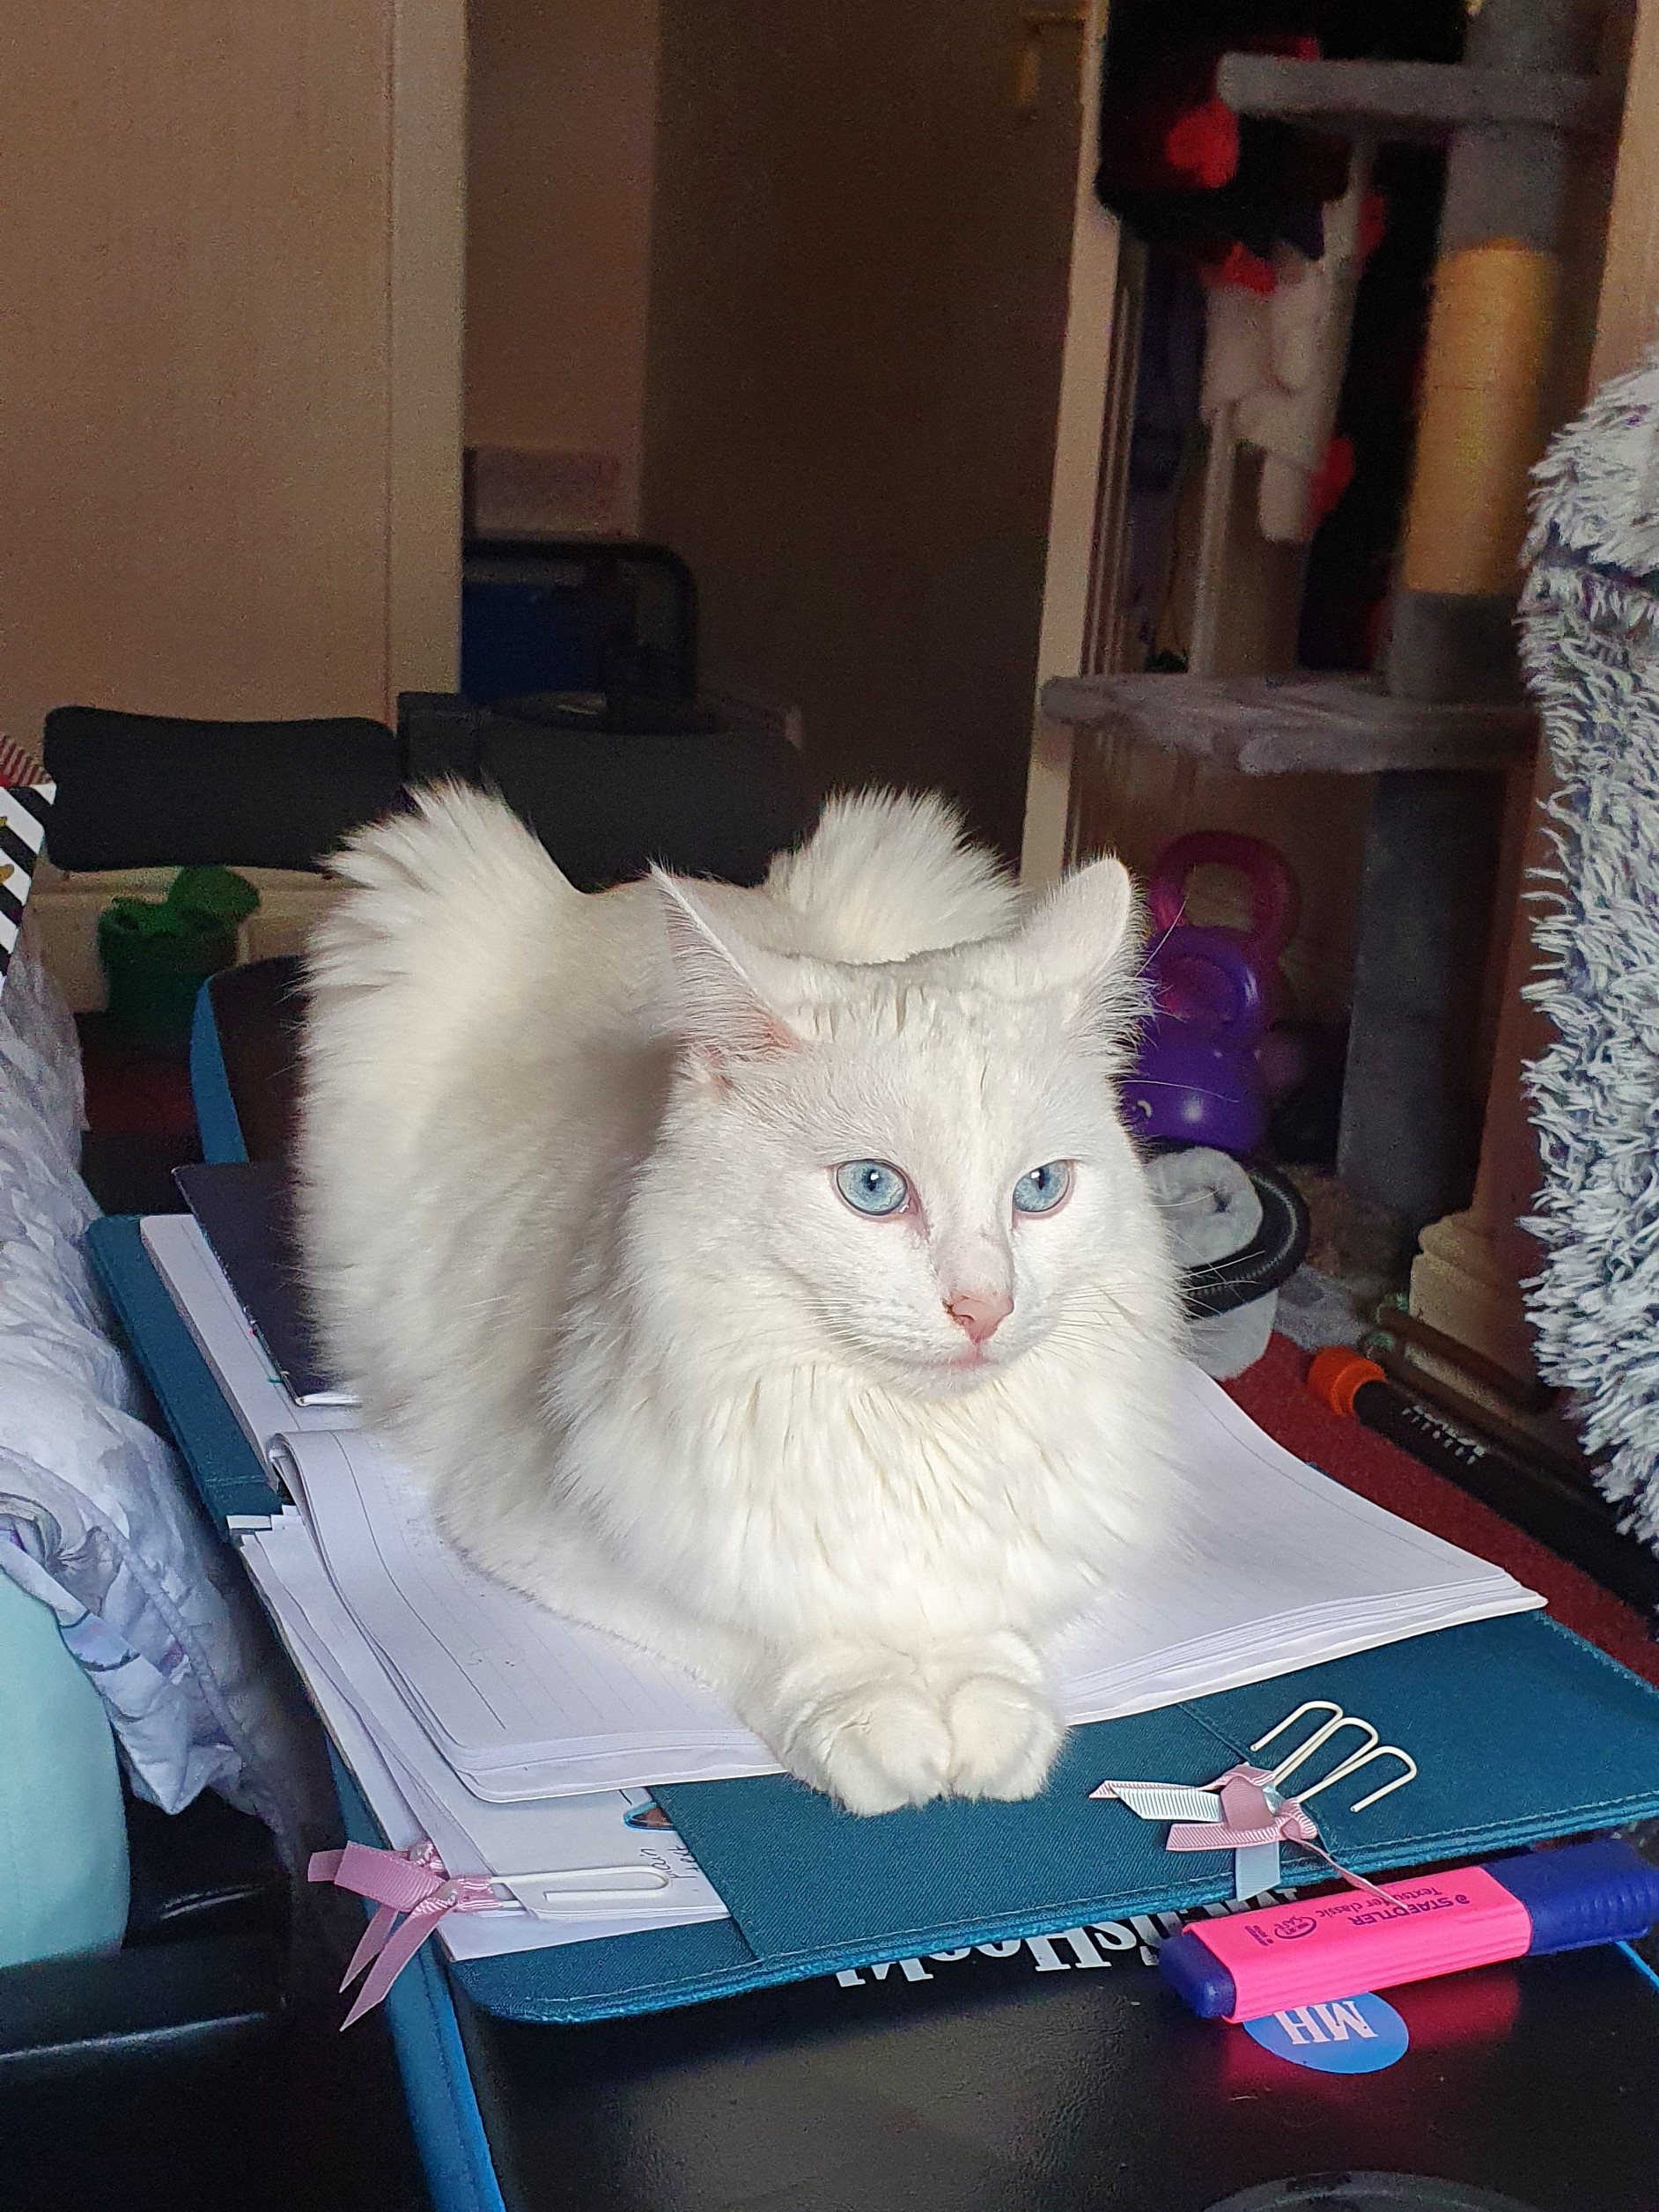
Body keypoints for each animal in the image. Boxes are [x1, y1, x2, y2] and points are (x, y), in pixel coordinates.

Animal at [299, 787, 1185, 1804]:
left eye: (1040, 1189)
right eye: (873, 1188)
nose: (984, 1309)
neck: (903, 1437)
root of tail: (607, 892)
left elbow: (987, 1620)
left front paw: (992, 1718)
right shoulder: (538, 1527)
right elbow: (787, 1631)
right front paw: (884, 1724)